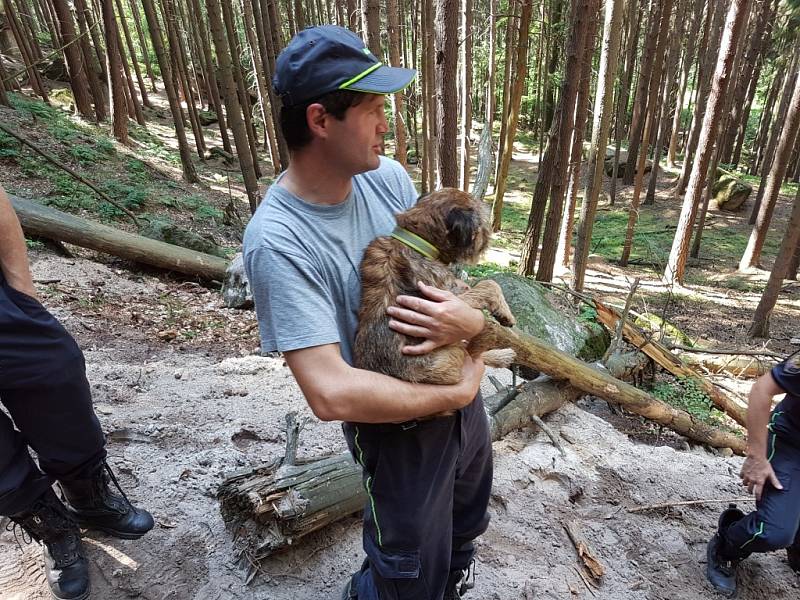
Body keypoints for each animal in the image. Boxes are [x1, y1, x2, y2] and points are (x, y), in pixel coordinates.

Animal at [354, 188, 520, 394]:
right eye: (481, 223)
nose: (489, 238)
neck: (417, 242)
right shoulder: (446, 302)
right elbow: (490, 284)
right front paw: (506, 313)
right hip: (451, 355)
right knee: (470, 352)